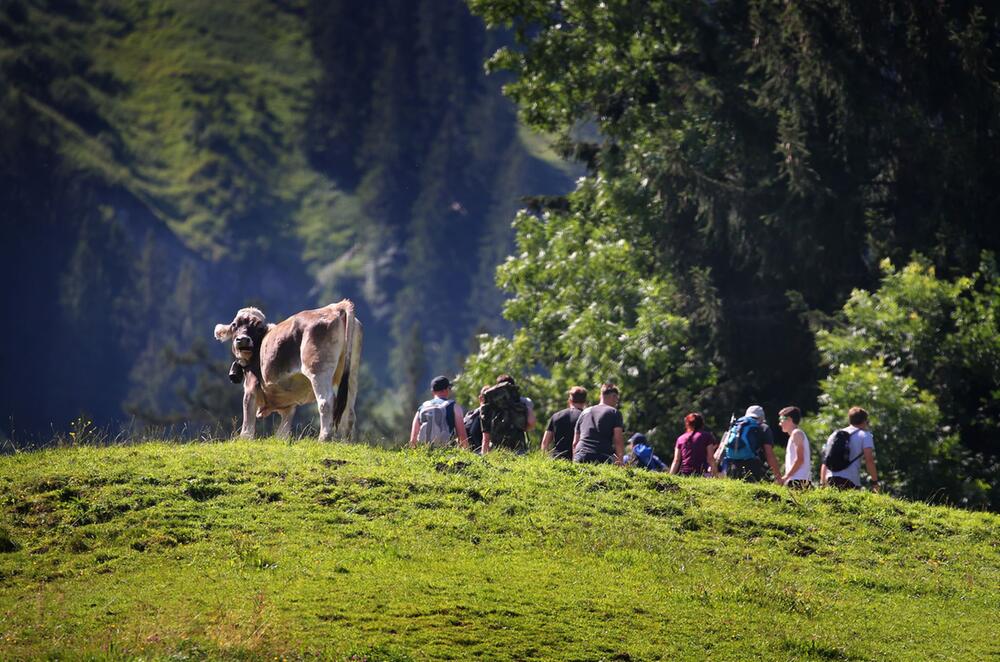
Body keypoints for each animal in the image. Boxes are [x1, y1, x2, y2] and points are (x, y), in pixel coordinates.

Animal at [213, 300, 362, 440]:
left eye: (259, 327)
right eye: (234, 325)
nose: (243, 339)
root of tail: (335, 307)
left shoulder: (251, 385)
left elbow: (247, 413)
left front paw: (245, 438)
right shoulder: (288, 403)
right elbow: (283, 429)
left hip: (318, 369)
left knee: (326, 402)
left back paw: (323, 438)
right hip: (352, 373)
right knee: (349, 411)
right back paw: (345, 441)